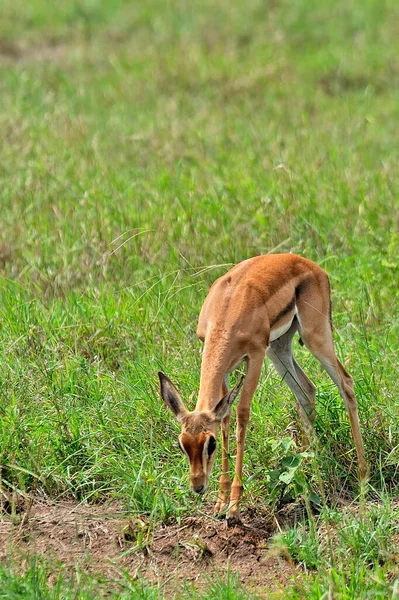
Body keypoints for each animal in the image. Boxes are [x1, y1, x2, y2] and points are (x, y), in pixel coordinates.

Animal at [159, 254, 368, 524]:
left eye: (210, 443)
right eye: (182, 444)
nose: (197, 486)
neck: (227, 309)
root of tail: (310, 264)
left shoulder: (255, 356)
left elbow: (242, 414)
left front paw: (234, 507)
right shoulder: (226, 369)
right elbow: (225, 418)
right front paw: (220, 503)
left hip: (314, 336)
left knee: (346, 383)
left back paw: (363, 476)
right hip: (279, 347)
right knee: (307, 390)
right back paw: (307, 469)